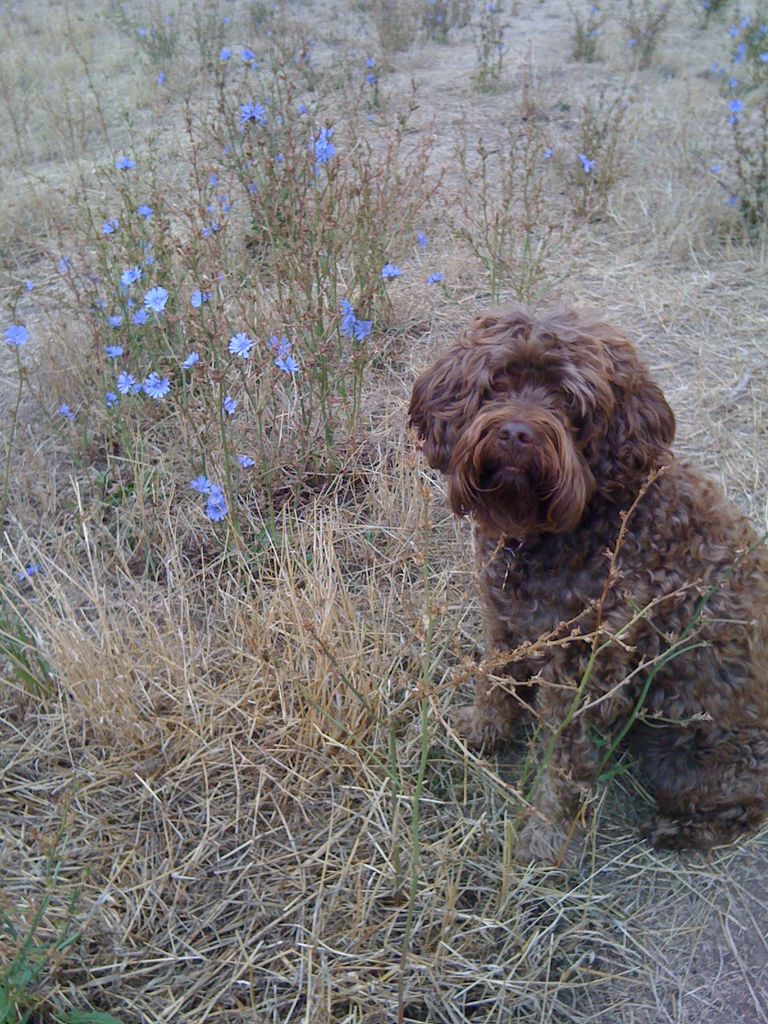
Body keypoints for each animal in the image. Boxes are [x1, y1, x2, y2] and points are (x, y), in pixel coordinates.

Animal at [411, 303, 768, 864]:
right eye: (497, 383)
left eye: (569, 400)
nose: (516, 433)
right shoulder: (504, 619)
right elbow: (495, 680)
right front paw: (483, 730)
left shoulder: (585, 673)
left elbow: (564, 762)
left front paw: (545, 838)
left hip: (694, 760)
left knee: (744, 806)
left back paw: (679, 830)